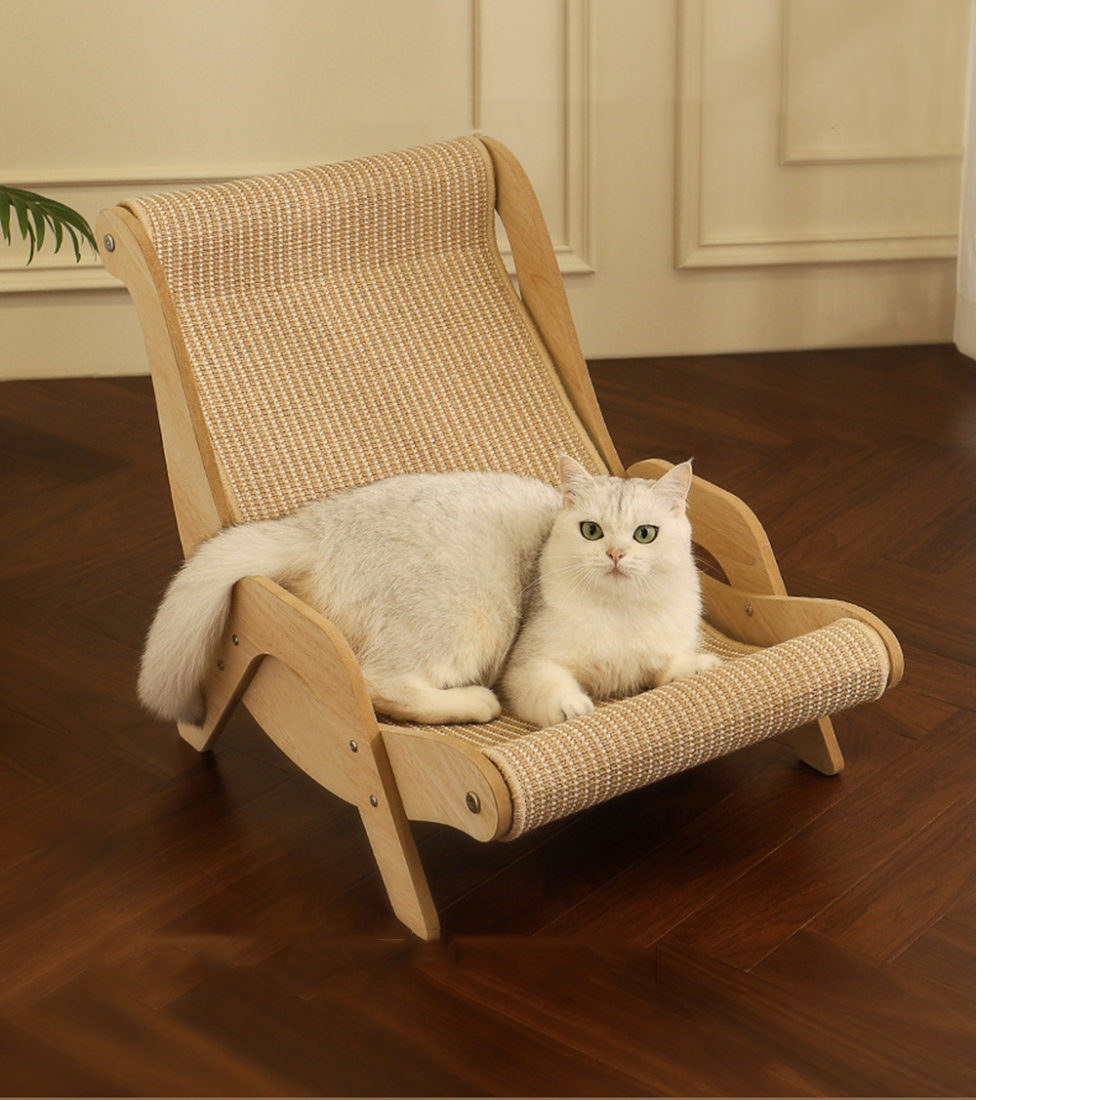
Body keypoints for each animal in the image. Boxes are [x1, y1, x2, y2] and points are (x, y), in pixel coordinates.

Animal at [137, 455, 721, 729]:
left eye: (644, 535)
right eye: (592, 531)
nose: (616, 556)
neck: (621, 613)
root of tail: (309, 526)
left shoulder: (667, 646)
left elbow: (674, 666)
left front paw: (700, 666)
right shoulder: (528, 663)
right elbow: (553, 689)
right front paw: (573, 706)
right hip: (471, 615)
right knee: (377, 684)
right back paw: (475, 702)